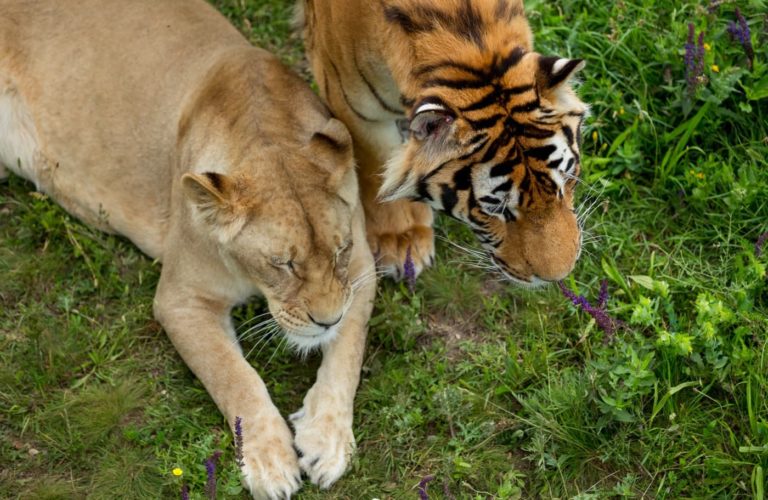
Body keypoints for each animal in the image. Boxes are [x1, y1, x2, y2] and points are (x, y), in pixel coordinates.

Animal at [0, 0, 376, 497]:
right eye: (283, 264)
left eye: (339, 251)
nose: (325, 320)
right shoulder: (181, 299)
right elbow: (233, 375)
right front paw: (269, 461)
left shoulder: (363, 269)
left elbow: (348, 351)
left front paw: (326, 440)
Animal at [297, 0, 588, 286]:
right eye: (496, 208)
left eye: (567, 179)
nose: (559, 277)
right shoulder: (353, 106)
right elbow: (375, 167)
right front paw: (401, 239)